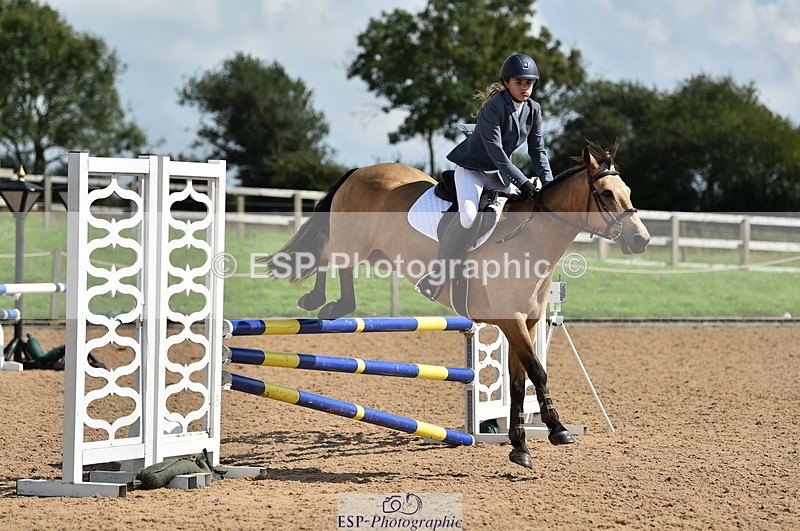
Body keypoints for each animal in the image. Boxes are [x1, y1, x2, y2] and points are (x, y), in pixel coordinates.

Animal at [266, 142, 650, 469]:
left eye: (629, 194)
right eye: (606, 194)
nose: (641, 240)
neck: (529, 238)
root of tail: (361, 170)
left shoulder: (525, 323)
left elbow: (518, 382)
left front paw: (520, 445)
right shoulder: (510, 320)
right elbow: (537, 372)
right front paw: (557, 431)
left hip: (376, 253)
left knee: (329, 260)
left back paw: (325, 304)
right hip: (353, 244)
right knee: (326, 255)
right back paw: (320, 302)